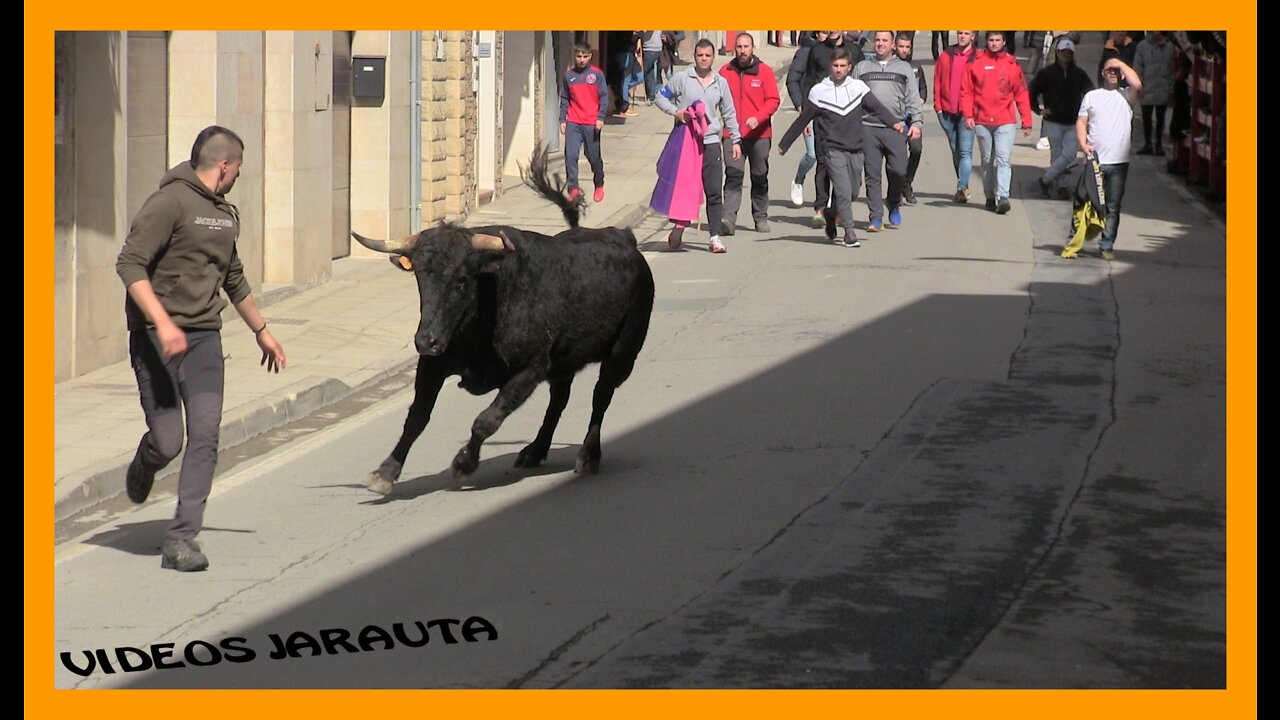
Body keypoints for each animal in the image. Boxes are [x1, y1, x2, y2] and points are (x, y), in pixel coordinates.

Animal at [350, 151, 655, 489]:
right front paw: (386, 471)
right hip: (565, 359)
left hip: (622, 353)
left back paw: (588, 455)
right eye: (419, 276)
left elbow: (486, 420)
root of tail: (624, 238)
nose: (426, 341)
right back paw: (535, 451)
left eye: (462, 280)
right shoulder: (433, 364)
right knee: (560, 398)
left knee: (600, 397)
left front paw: (464, 463)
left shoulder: (530, 369)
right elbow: (417, 416)